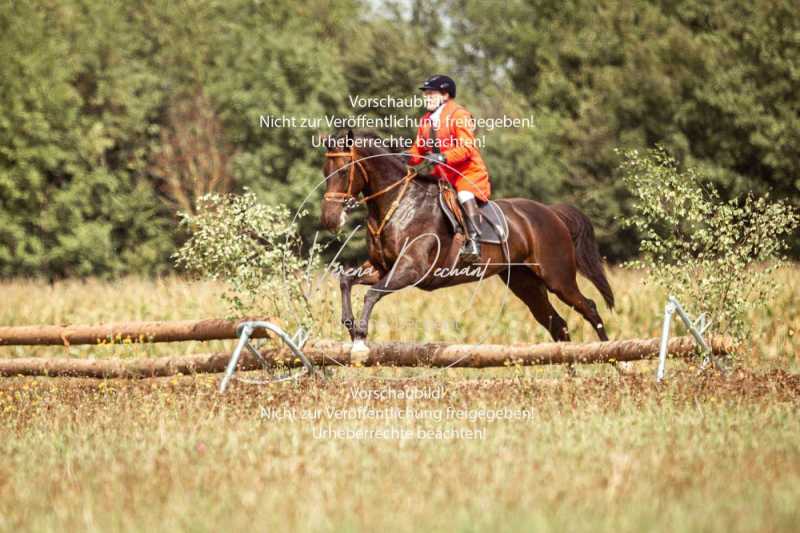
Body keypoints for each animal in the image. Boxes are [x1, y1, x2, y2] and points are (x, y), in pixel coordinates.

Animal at [322, 129, 616, 366]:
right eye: (325, 173)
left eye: (343, 171)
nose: (330, 219)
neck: (399, 204)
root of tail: (551, 212)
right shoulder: (382, 267)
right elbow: (346, 280)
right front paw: (350, 327)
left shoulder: (411, 270)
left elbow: (371, 294)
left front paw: (360, 339)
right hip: (525, 283)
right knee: (558, 325)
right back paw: (570, 368)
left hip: (557, 277)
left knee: (589, 307)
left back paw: (612, 358)